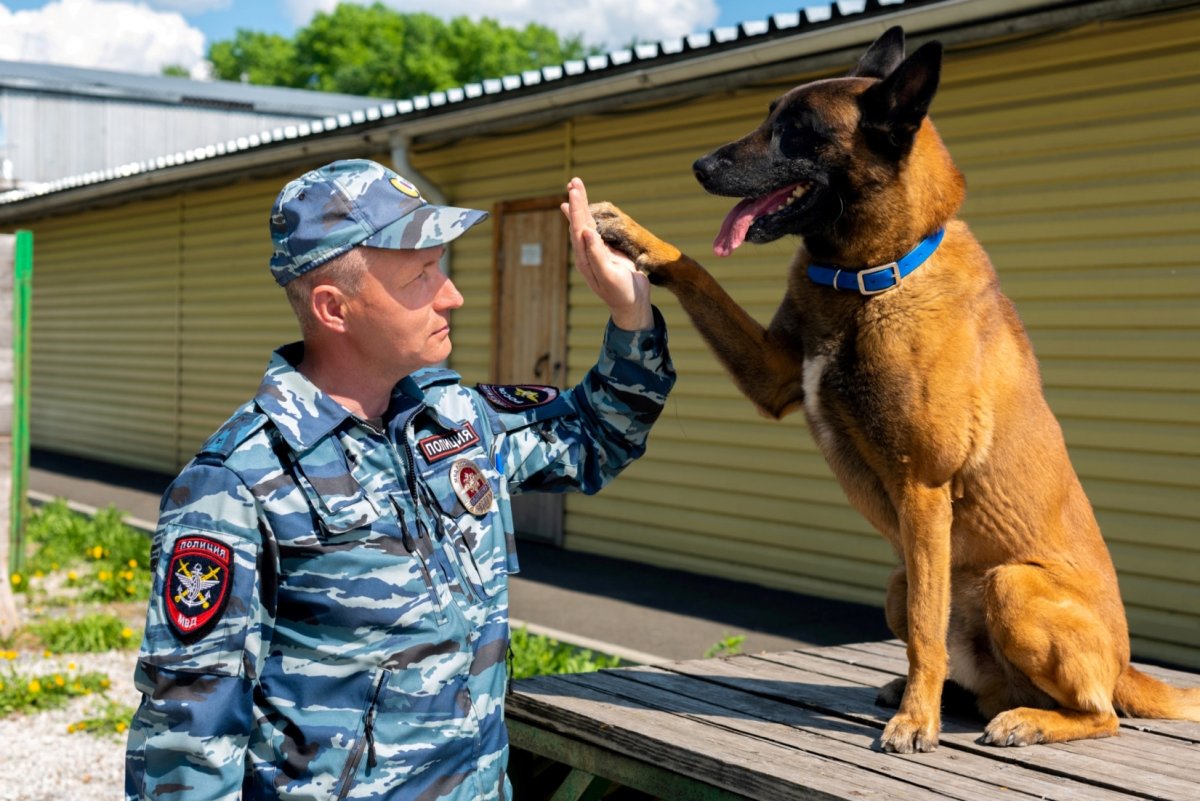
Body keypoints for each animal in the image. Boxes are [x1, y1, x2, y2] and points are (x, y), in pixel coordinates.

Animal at [592, 25, 1200, 753]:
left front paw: (916, 719)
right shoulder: (774, 374)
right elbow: (696, 270)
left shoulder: (923, 489)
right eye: (768, 117)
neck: (869, 279)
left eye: (796, 132)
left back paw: (1023, 718)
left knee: (1101, 712)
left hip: (1010, 584)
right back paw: (958, 697)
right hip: (898, 576)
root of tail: (1128, 664)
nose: (700, 166)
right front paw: (632, 236)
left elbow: (924, 636)